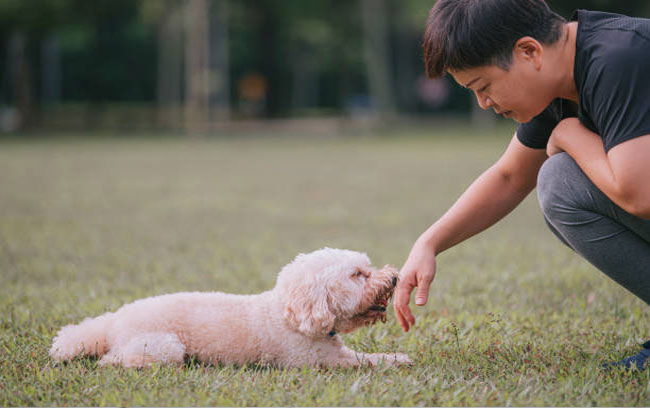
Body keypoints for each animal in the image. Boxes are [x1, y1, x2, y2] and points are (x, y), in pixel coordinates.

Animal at [49, 247, 410, 368]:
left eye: (367, 267)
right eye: (358, 274)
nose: (394, 277)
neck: (288, 312)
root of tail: (113, 322)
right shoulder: (318, 361)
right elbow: (368, 361)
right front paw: (398, 359)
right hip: (163, 346)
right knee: (113, 360)